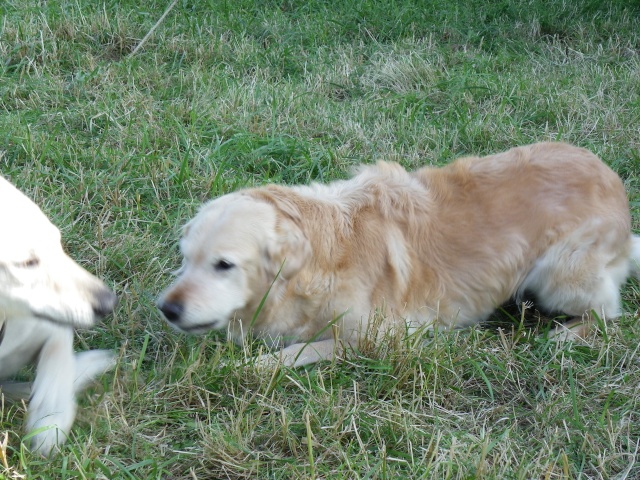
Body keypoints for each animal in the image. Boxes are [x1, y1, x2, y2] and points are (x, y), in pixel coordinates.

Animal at [0, 175, 117, 458]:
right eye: (26, 262)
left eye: (57, 243)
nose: (109, 303)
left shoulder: (43, 325)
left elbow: (58, 354)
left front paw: (51, 416)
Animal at [159, 142, 640, 368]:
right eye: (185, 258)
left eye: (224, 265)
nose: (166, 309)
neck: (322, 257)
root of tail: (614, 186)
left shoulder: (384, 337)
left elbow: (298, 352)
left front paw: (257, 365)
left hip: (560, 275)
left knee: (608, 312)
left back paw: (566, 336)